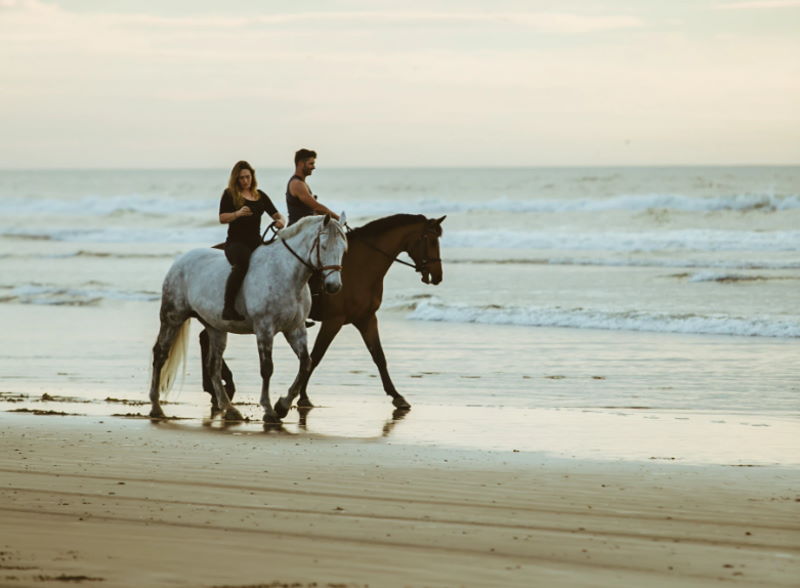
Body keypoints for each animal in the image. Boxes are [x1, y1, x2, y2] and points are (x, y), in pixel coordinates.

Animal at [198, 215, 444, 414]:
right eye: (431, 241)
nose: (438, 275)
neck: (361, 266)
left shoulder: (366, 319)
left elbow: (379, 357)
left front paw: (397, 397)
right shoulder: (334, 321)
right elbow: (316, 357)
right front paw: (299, 397)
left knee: (204, 338)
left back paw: (217, 388)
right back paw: (220, 388)